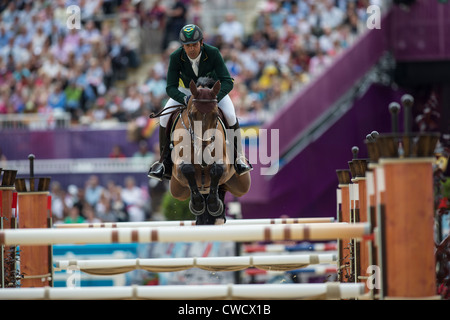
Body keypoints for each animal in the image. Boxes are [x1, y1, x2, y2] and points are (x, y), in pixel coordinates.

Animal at [163, 78, 251, 224]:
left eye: (215, 115)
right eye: (192, 115)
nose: (204, 153)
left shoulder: (224, 163)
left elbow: (217, 169)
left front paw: (214, 205)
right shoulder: (178, 168)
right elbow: (187, 168)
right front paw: (197, 205)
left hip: (241, 185)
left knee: (221, 187)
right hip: (177, 189)